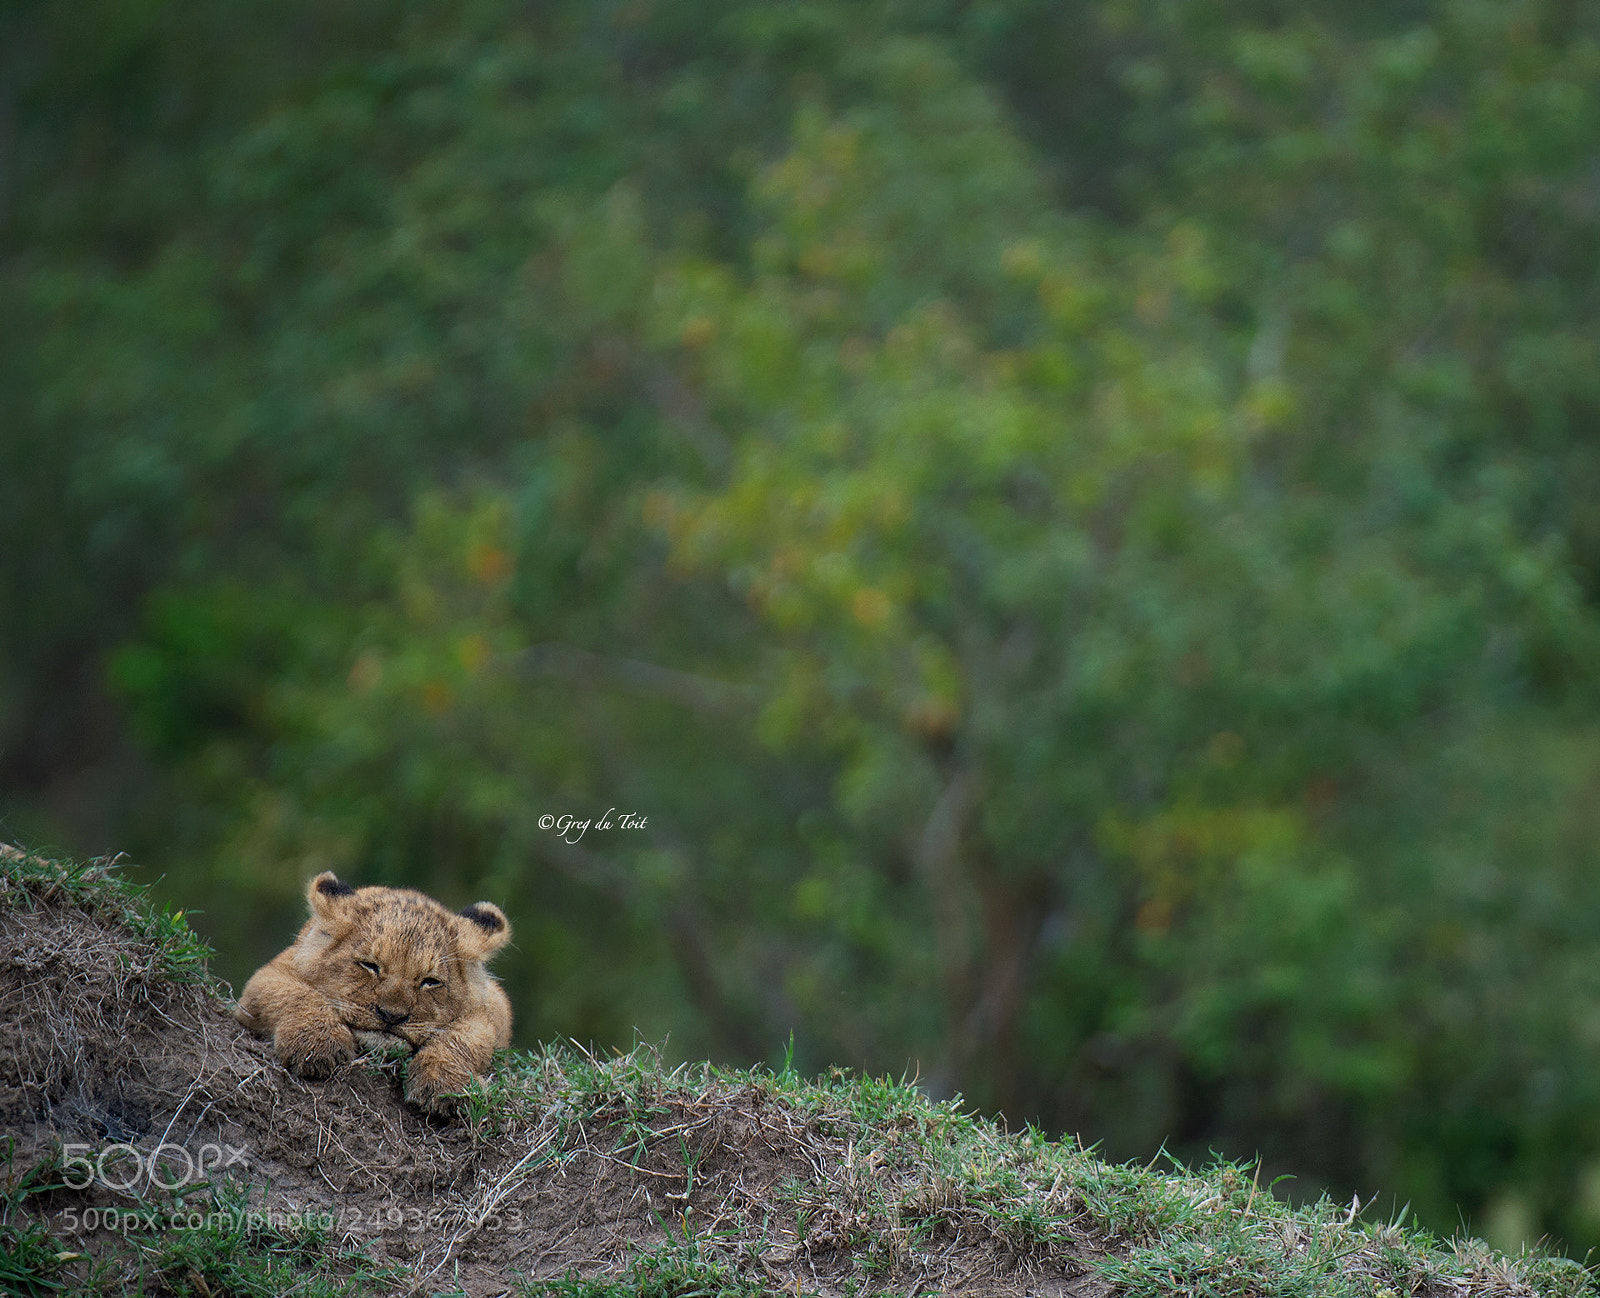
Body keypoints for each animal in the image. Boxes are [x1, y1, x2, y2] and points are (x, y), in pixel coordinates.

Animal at [235, 871, 512, 1115]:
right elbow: (295, 994)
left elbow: (465, 1036)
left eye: (430, 982)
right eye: (369, 965)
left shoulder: (492, 1007)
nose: (391, 1015)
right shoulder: (267, 977)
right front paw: (316, 1045)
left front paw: (445, 1083)